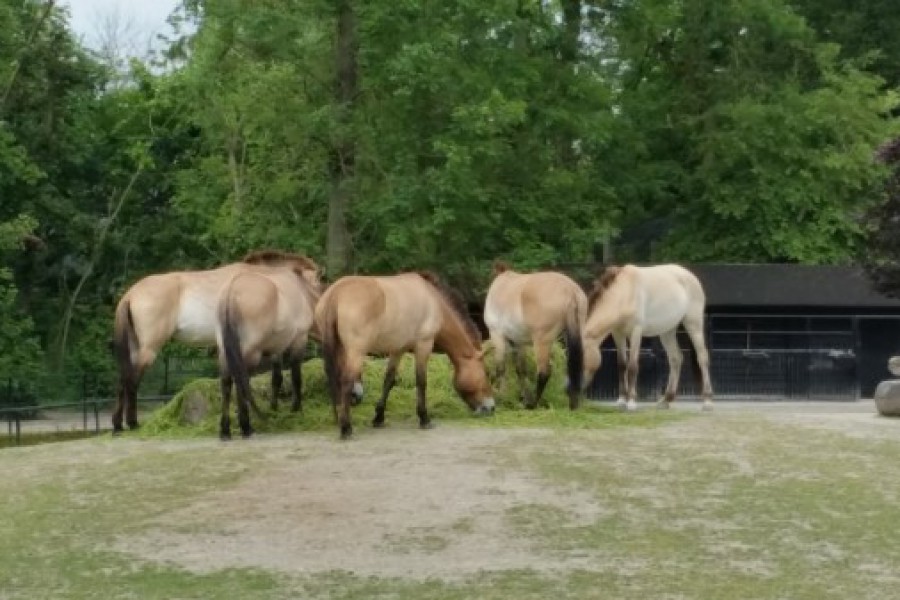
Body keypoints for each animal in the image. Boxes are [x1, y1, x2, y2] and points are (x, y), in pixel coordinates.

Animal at [112, 248, 316, 432]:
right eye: (318, 281)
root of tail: (131, 295)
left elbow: (275, 378)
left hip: (135, 349)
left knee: (122, 380)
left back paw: (118, 424)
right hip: (149, 350)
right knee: (132, 381)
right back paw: (132, 422)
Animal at [217, 251, 324, 438]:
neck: (301, 287)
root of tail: (232, 292)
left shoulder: (276, 349)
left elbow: (277, 378)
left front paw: (274, 409)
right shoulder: (299, 340)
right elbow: (296, 377)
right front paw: (296, 409)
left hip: (225, 352)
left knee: (227, 383)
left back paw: (225, 430)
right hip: (250, 353)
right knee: (241, 380)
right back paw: (246, 426)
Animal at [316, 272, 496, 440]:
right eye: (486, 373)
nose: (491, 407)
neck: (433, 300)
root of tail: (336, 293)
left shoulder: (398, 349)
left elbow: (388, 380)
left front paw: (379, 417)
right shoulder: (424, 346)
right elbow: (421, 381)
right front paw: (424, 418)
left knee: (333, 380)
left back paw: (339, 419)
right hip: (355, 352)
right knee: (345, 382)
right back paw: (346, 428)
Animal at [482, 264, 588, 410]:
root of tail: (570, 290)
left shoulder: (497, 335)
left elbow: (500, 369)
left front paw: (502, 397)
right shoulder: (518, 343)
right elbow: (521, 370)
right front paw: (522, 397)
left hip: (541, 342)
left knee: (544, 372)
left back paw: (533, 404)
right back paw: (573, 403)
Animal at [584, 264, 716, 410]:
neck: (625, 292)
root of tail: (689, 275)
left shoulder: (636, 332)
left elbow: (632, 366)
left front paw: (631, 401)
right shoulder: (617, 334)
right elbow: (621, 365)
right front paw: (622, 400)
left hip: (693, 324)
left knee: (702, 357)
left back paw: (707, 401)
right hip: (667, 331)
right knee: (676, 358)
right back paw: (666, 400)